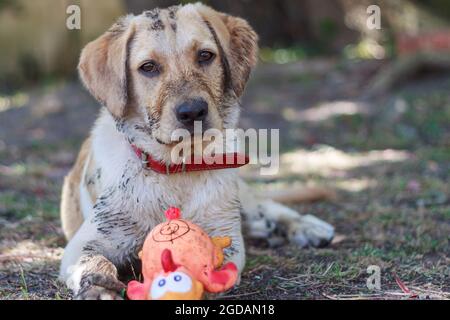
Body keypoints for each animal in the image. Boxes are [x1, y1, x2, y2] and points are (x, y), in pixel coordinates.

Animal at [59, 2, 334, 298]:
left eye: (205, 56)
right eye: (148, 67)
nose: (192, 112)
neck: (178, 168)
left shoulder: (226, 238)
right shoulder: (86, 243)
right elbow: (94, 262)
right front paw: (99, 285)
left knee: (266, 205)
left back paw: (306, 226)